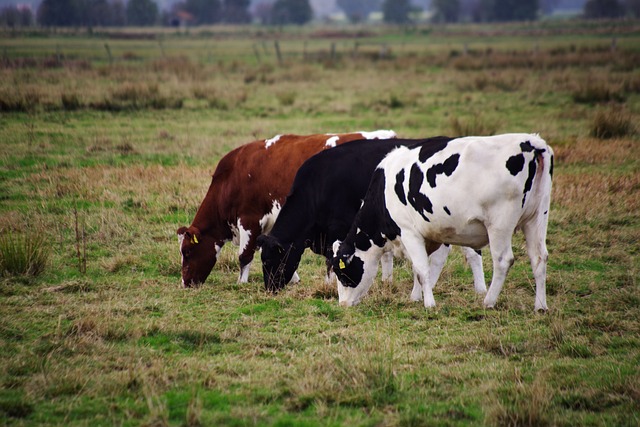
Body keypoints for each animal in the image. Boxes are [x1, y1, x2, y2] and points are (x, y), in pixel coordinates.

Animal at [175, 130, 396, 288]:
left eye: (187, 251)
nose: (185, 283)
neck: (232, 177)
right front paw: (294, 278)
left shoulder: (249, 218)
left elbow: (245, 255)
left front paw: (241, 283)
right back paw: (387, 281)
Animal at [255, 138, 484, 298]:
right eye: (262, 259)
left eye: (269, 260)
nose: (270, 289)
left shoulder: (338, 230)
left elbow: (332, 260)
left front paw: (330, 287)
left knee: (472, 252)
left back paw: (480, 289)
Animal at [332, 134, 552, 310]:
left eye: (342, 274)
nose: (342, 304)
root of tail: (532, 142)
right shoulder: (432, 235)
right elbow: (422, 268)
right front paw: (416, 297)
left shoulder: (409, 232)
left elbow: (422, 269)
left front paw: (429, 303)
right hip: (537, 218)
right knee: (539, 258)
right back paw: (540, 306)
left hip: (500, 224)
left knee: (503, 260)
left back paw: (488, 301)